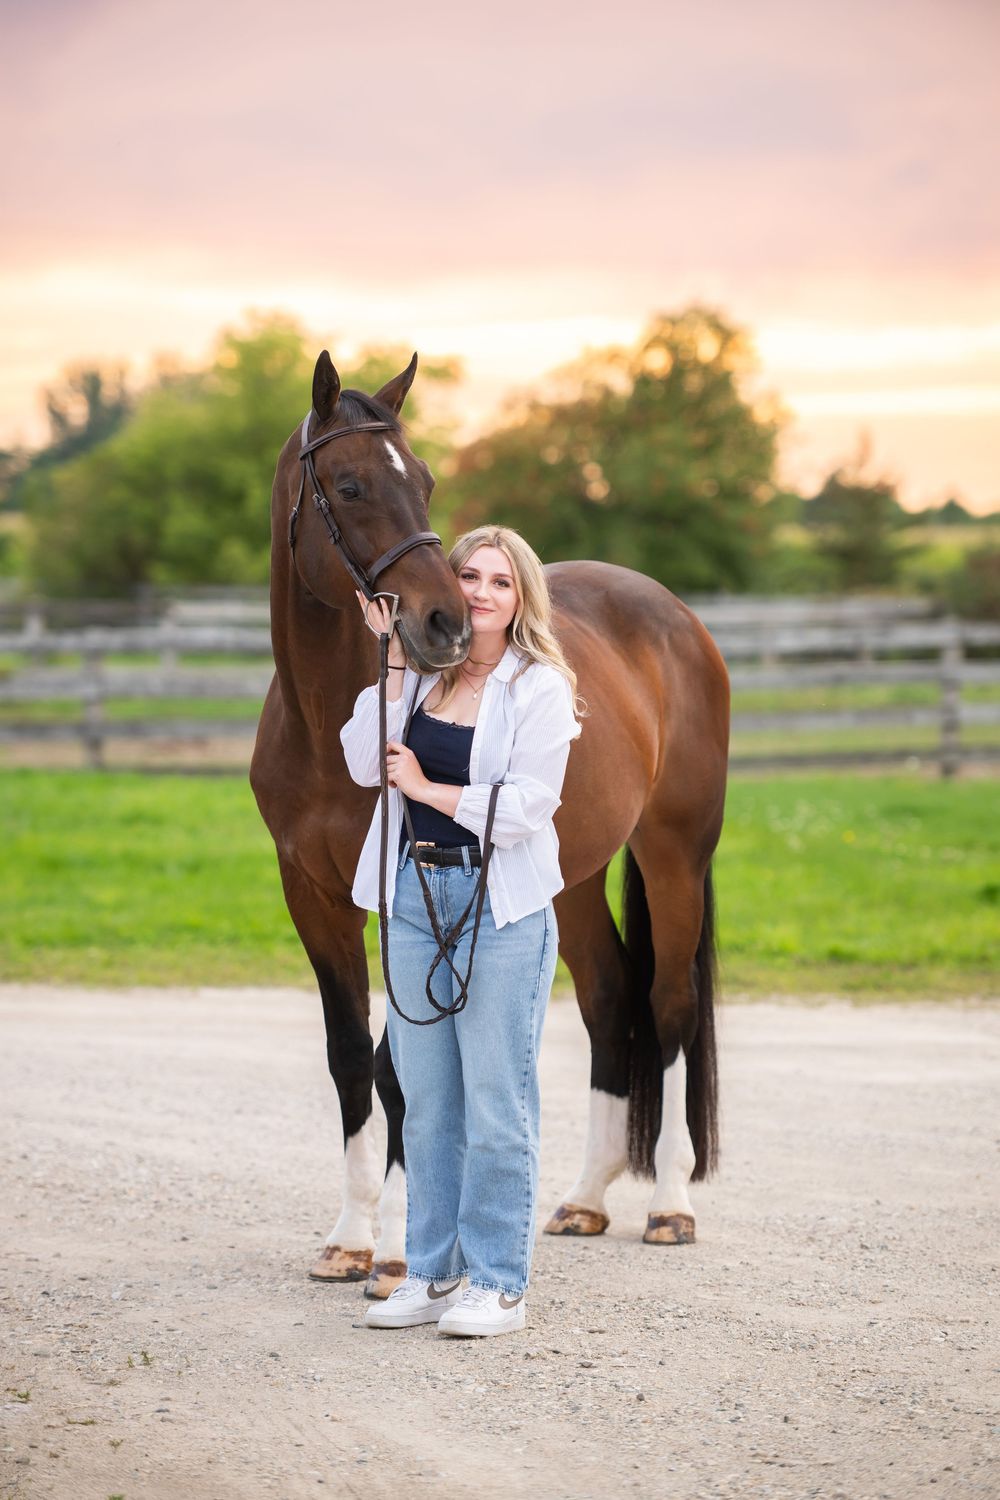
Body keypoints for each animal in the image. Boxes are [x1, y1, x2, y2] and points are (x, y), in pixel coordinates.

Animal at [250, 351, 729, 1299]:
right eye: (350, 485)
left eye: (426, 480)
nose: (442, 621)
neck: (326, 723)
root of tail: (676, 618)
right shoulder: (312, 893)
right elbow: (350, 1055)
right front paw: (349, 1237)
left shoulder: (402, 893)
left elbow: (400, 1066)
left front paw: (398, 1249)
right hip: (570, 874)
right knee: (609, 996)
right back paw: (584, 1200)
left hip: (674, 855)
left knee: (669, 1004)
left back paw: (670, 1205)